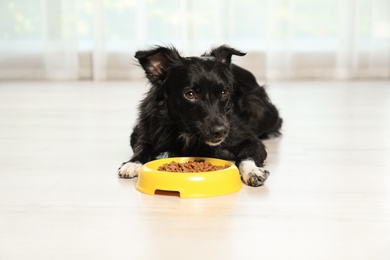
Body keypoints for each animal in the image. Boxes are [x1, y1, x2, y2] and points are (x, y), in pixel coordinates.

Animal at [117, 45, 282, 187]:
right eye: (190, 94)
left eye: (224, 92)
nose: (221, 131)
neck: (187, 131)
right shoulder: (141, 132)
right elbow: (142, 147)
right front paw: (133, 163)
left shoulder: (251, 141)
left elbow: (245, 156)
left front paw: (252, 171)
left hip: (258, 108)